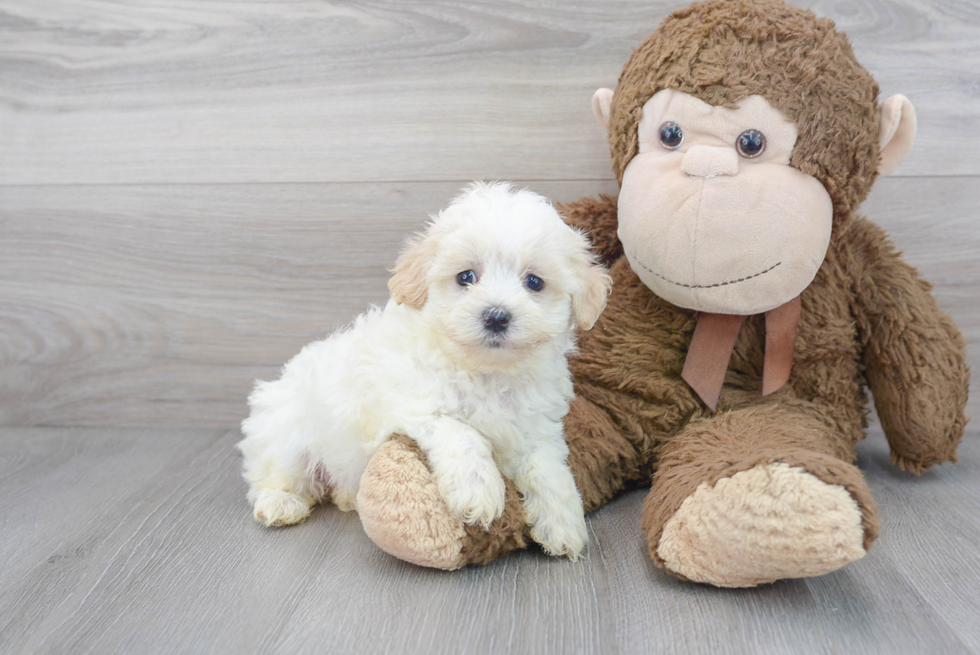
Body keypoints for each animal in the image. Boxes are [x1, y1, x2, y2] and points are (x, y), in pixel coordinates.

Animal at [236, 183, 608, 560]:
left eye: (534, 282)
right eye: (465, 277)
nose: (496, 316)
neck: (485, 372)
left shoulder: (534, 430)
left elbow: (547, 468)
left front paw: (563, 522)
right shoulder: (416, 405)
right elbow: (462, 432)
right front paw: (479, 491)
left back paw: (346, 495)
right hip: (286, 433)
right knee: (274, 476)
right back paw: (280, 503)